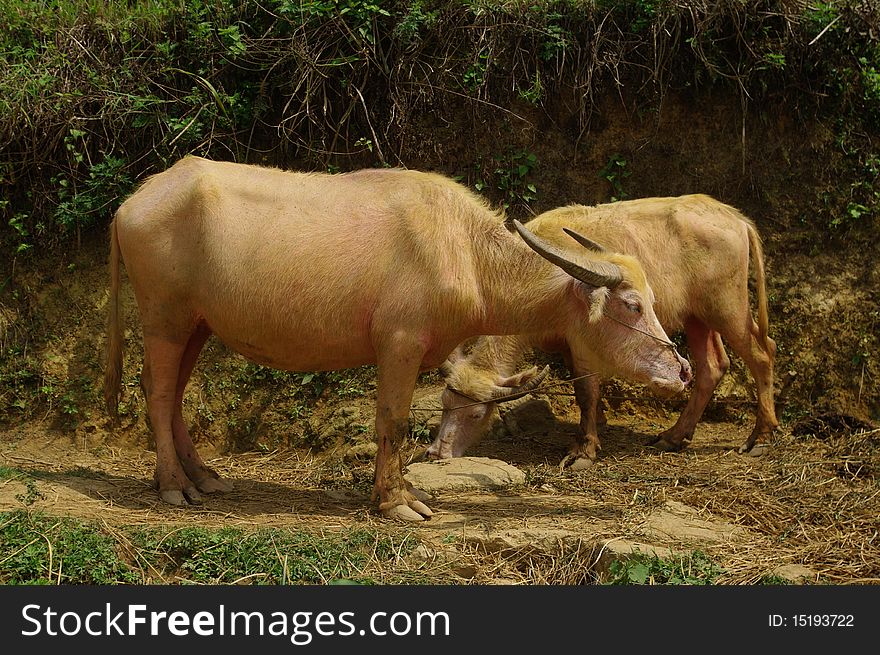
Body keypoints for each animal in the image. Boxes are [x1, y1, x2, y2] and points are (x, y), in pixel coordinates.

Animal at [105, 156, 688, 520]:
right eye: (632, 305)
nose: (680, 369)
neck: (465, 253)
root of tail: (131, 203)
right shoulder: (399, 345)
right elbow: (395, 419)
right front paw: (394, 502)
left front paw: (407, 488)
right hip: (164, 316)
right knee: (157, 391)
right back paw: (173, 485)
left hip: (197, 323)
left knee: (174, 394)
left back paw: (204, 476)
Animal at [430, 195, 780, 466]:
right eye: (445, 405)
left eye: (476, 415)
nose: (437, 453)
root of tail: (733, 216)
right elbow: (584, 392)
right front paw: (597, 423)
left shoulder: (584, 341)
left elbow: (587, 391)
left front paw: (584, 449)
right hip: (698, 317)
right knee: (713, 365)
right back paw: (674, 436)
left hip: (727, 308)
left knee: (762, 355)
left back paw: (761, 437)